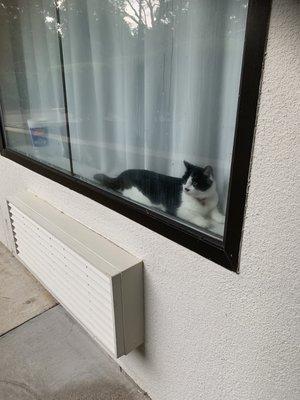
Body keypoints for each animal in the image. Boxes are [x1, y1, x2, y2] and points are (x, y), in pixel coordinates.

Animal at [95, 160, 224, 228]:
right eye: (184, 180)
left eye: (195, 183)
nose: (186, 189)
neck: (202, 200)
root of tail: (121, 175)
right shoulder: (178, 210)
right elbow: (194, 216)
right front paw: (204, 222)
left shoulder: (212, 202)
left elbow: (214, 211)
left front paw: (221, 218)